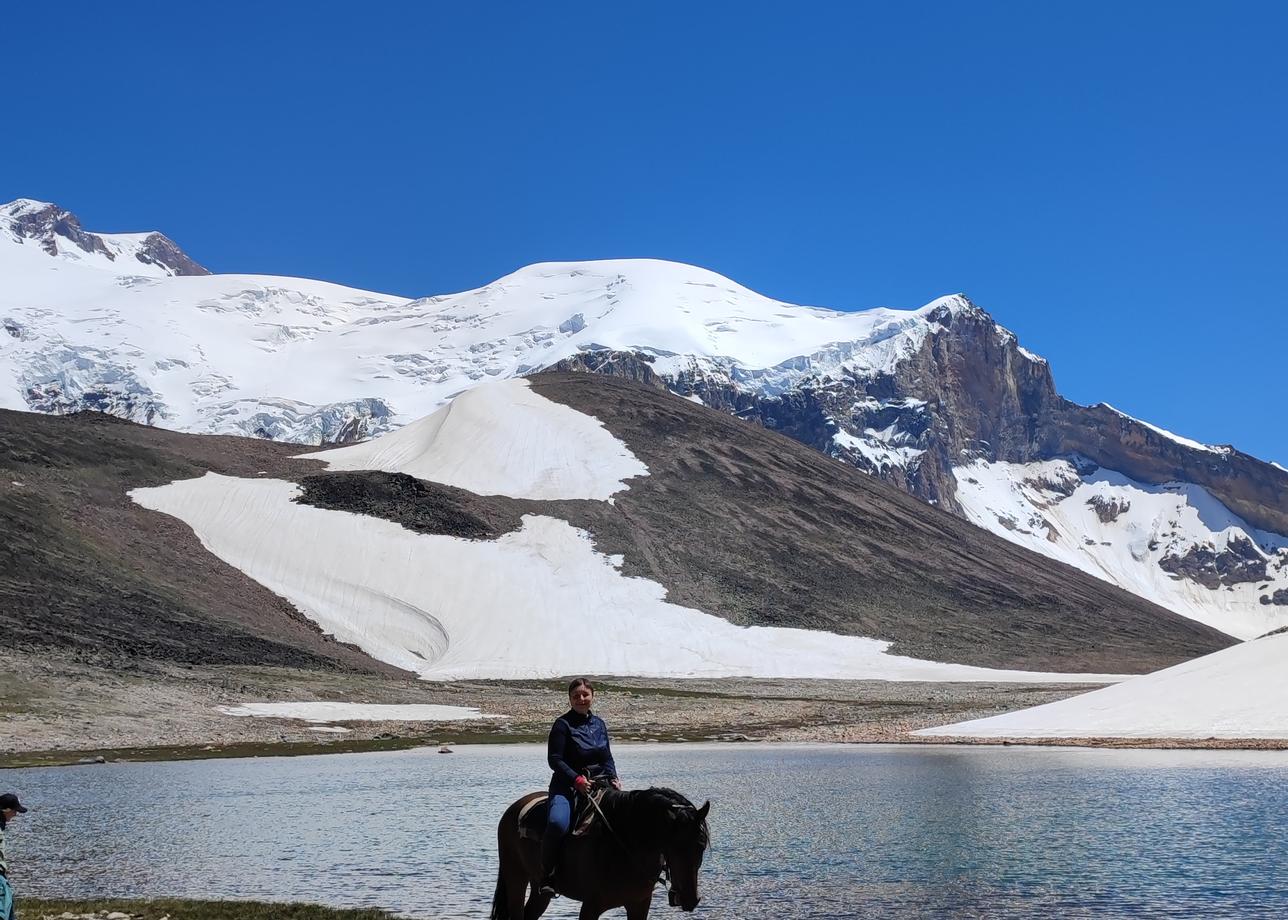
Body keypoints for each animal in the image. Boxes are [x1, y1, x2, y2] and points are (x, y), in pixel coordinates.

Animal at [492, 783, 716, 917]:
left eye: (701, 846)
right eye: (676, 846)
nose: (691, 899)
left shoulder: (639, 904)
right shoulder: (590, 906)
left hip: (539, 890)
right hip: (515, 878)